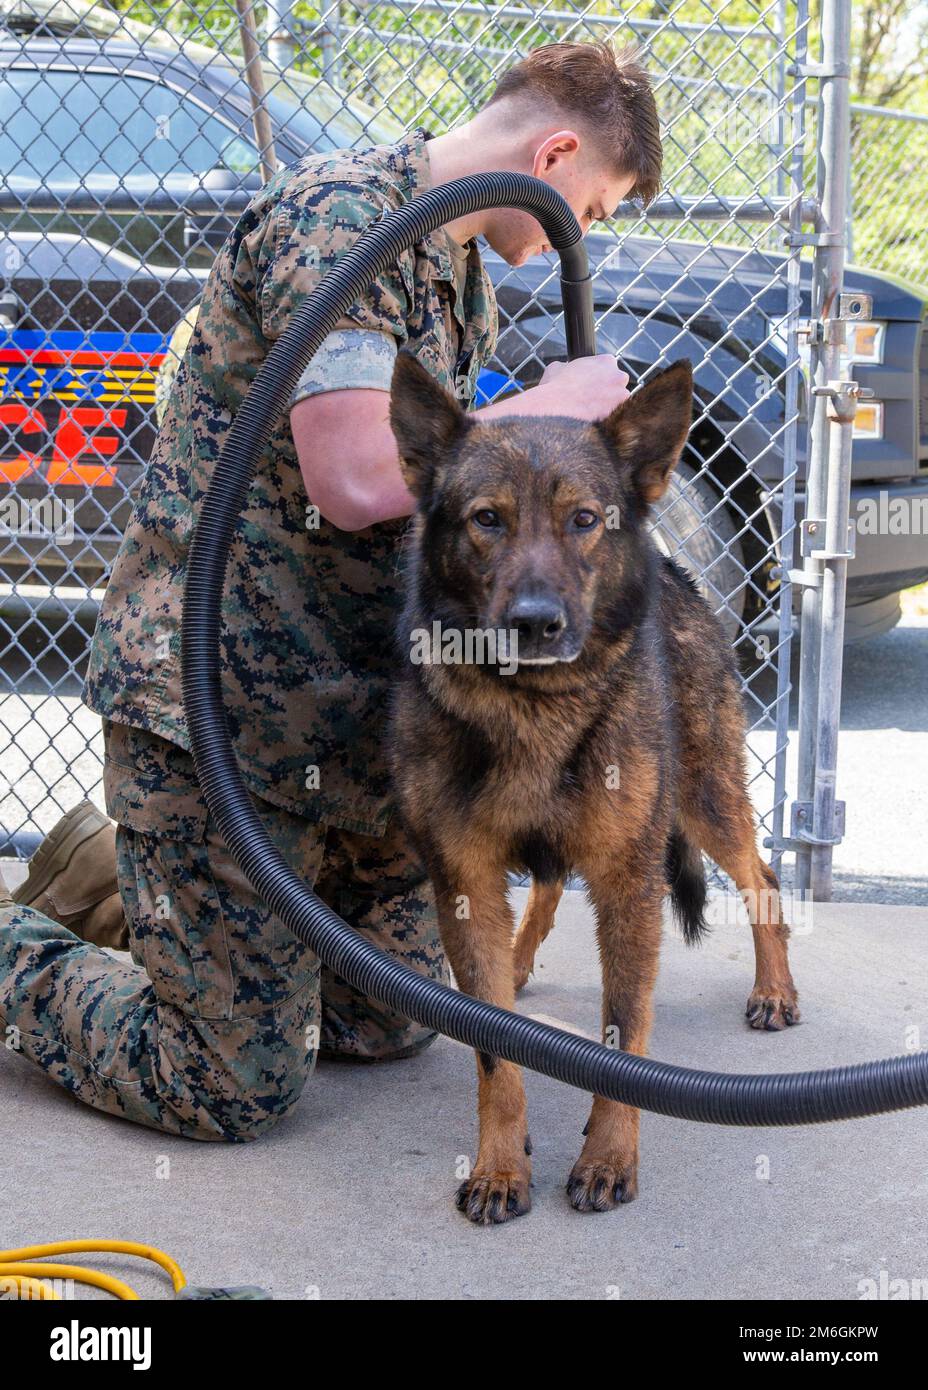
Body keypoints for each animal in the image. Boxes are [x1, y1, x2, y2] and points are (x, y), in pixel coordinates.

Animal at [383, 353, 800, 1223]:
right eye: (487, 519)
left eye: (583, 520)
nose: (535, 622)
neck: (535, 709)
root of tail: (676, 572)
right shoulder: (465, 879)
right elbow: (493, 1048)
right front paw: (500, 1165)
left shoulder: (628, 883)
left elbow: (623, 1029)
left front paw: (610, 1157)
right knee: (544, 884)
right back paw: (516, 961)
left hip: (706, 800)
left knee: (763, 878)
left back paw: (775, 990)